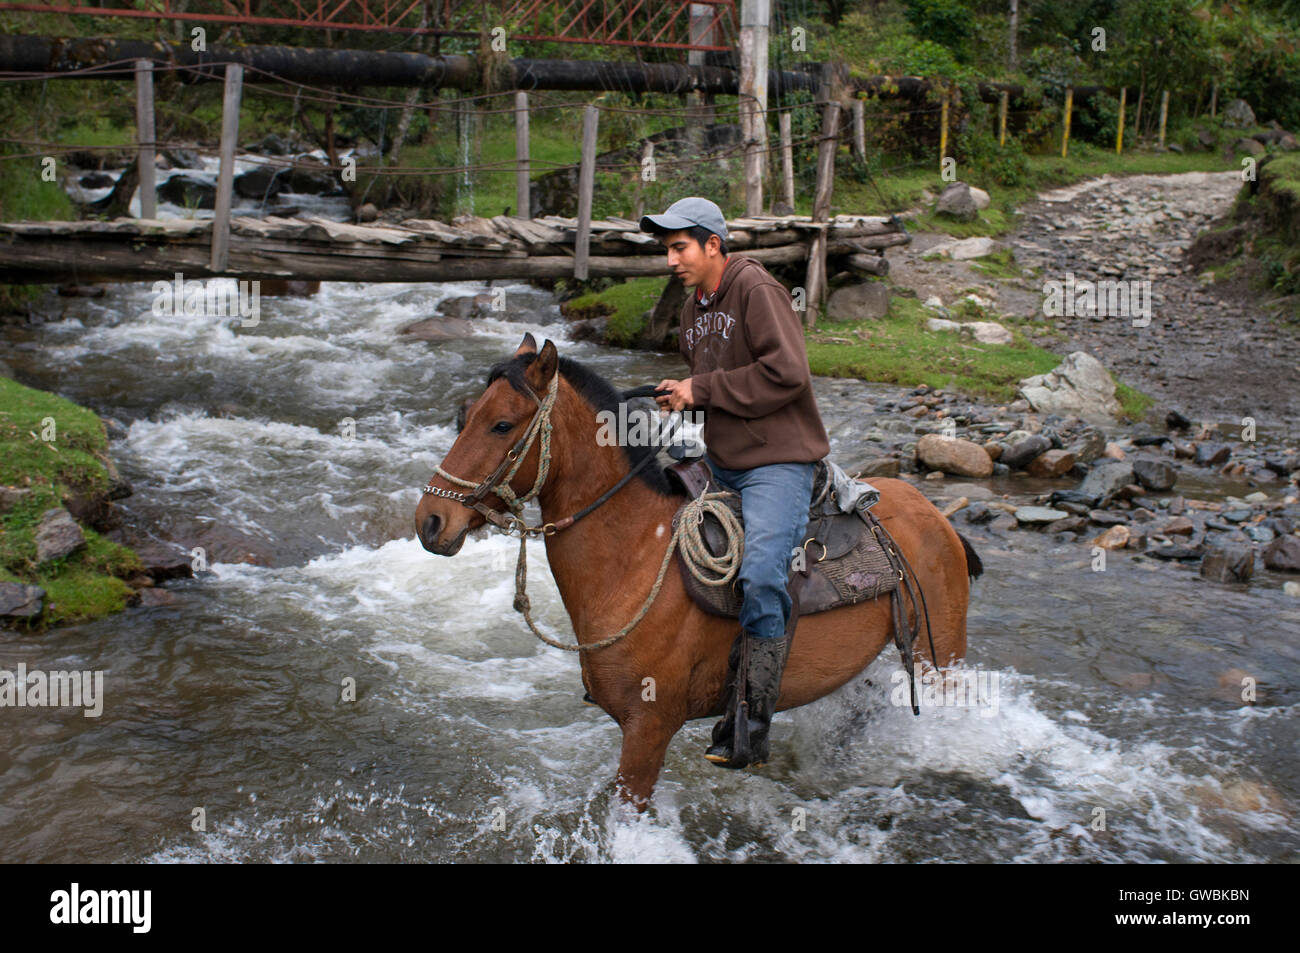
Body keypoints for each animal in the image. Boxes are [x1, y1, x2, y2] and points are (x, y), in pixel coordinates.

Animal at [410, 335, 977, 800]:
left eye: (502, 424)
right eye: (466, 416)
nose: (430, 522)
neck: (636, 554)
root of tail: (934, 514)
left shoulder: (648, 728)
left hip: (939, 654)